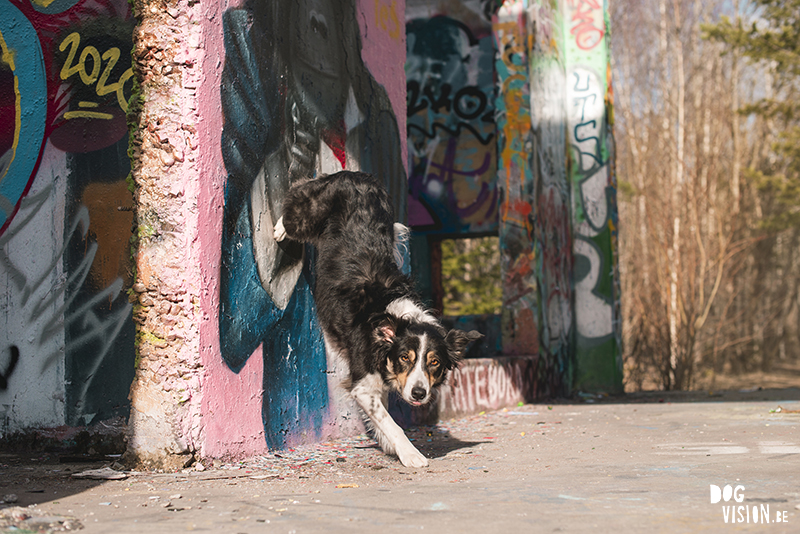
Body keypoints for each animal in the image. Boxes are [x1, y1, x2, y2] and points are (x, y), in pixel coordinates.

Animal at [274, 172, 482, 468]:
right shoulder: (362, 385)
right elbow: (391, 422)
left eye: (435, 362)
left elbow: (383, 416)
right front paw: (409, 453)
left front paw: (386, 442)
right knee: (297, 196)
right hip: (308, 214)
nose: (419, 394)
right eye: (404, 357)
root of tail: (354, 174)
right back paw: (280, 228)